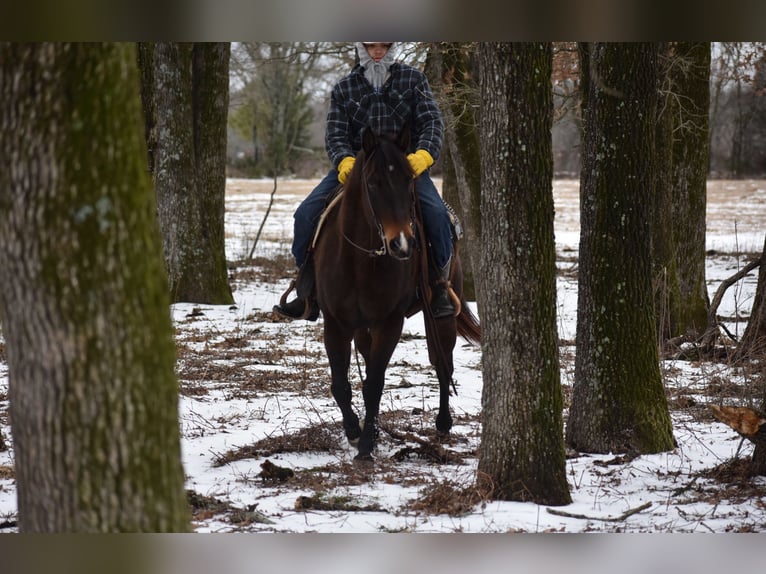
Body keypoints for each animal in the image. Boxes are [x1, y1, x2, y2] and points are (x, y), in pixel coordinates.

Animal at [312, 127, 481, 461]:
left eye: (408, 180)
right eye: (373, 182)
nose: (401, 244)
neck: (361, 260)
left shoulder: (389, 322)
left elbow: (374, 384)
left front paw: (366, 444)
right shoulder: (335, 323)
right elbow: (341, 384)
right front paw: (354, 431)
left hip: (440, 316)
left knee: (442, 363)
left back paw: (443, 423)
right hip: (361, 328)